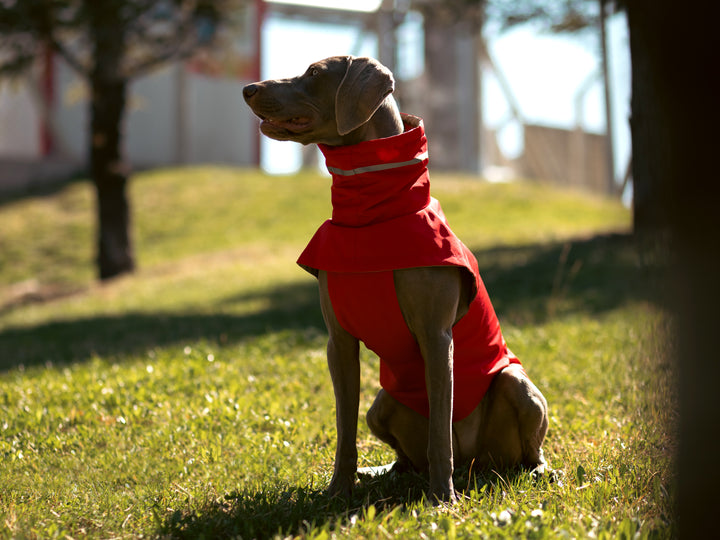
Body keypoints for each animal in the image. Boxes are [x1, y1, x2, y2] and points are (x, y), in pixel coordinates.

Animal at [242, 54, 544, 502]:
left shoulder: (436, 337)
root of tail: (475, 462)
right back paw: (386, 472)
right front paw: (338, 492)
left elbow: (439, 430)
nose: (248, 89)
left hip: (517, 387)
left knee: (517, 447)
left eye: (315, 73)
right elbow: (344, 429)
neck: (370, 218)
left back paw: (533, 471)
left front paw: (442, 499)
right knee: (402, 453)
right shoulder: (338, 342)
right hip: (381, 405)